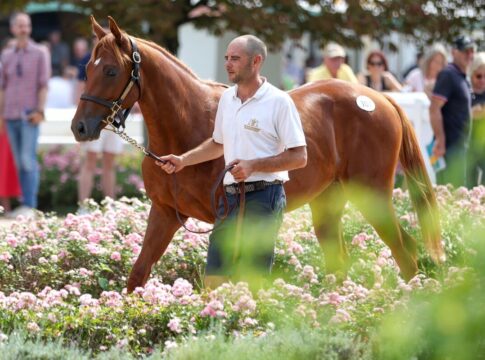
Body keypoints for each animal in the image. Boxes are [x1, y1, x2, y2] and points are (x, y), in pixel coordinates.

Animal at [71, 17, 442, 292]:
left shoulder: (229, 221)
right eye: (87, 68)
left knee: (404, 252)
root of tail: (380, 98)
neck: (186, 128)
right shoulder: (164, 213)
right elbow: (139, 272)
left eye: (111, 71)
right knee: (344, 258)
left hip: (373, 194)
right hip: (327, 203)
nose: (79, 127)